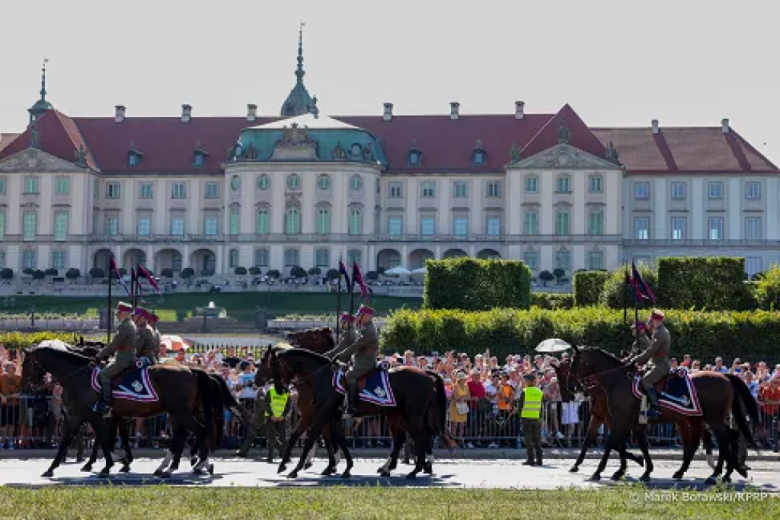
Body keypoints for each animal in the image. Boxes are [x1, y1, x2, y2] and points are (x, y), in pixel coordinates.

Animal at [20, 342, 216, 480]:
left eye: (25, 363)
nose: (26, 386)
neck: (81, 377)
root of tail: (190, 369)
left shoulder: (97, 416)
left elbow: (104, 440)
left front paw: (107, 466)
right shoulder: (77, 417)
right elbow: (66, 441)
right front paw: (51, 468)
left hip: (181, 412)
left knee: (199, 431)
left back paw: (197, 464)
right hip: (176, 413)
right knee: (182, 436)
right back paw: (172, 466)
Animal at [266, 346, 448, 480]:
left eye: (274, 366)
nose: (278, 389)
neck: (322, 378)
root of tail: (426, 374)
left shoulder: (319, 416)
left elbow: (310, 441)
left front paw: (294, 469)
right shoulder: (332, 418)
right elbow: (339, 441)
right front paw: (345, 468)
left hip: (412, 415)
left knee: (420, 436)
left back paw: (415, 470)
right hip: (398, 415)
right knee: (405, 438)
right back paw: (395, 468)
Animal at [568, 346, 760, 484]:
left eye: (575, 362)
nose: (572, 387)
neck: (618, 380)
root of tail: (726, 377)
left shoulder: (619, 419)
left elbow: (611, 443)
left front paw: (599, 471)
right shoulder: (632, 422)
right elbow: (639, 445)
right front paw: (644, 469)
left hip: (712, 420)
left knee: (722, 440)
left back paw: (718, 474)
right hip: (703, 420)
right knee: (725, 438)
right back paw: (724, 472)